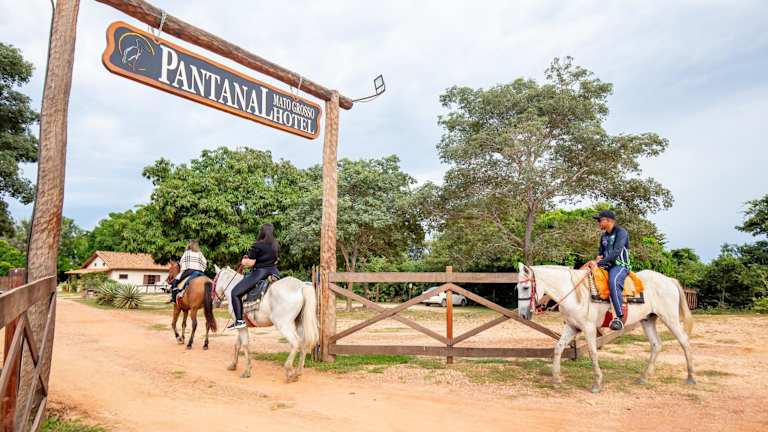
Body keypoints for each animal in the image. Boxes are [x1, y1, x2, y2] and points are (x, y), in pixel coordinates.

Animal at [516, 263, 695, 393]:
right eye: (517, 288)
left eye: (526, 287)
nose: (523, 315)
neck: (576, 293)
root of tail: (669, 280)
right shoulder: (572, 327)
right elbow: (558, 348)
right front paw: (556, 379)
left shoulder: (588, 328)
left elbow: (593, 352)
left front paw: (597, 383)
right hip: (648, 320)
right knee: (656, 345)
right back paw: (643, 378)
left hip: (670, 319)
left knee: (685, 341)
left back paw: (691, 377)